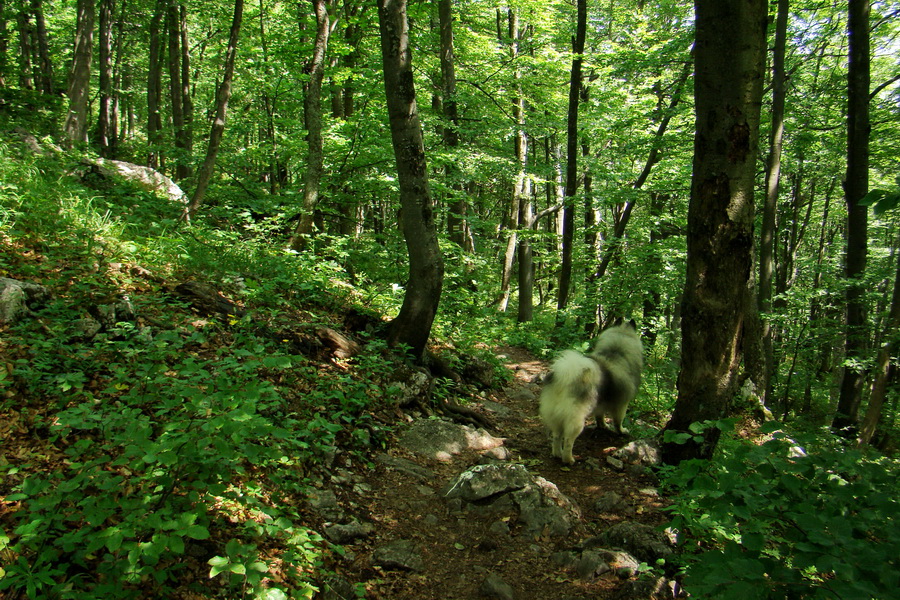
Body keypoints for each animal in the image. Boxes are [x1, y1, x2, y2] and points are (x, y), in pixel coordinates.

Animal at [536, 318, 644, 464]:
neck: (617, 352)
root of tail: (564, 378)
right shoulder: (622, 404)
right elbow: (618, 420)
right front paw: (622, 431)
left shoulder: (601, 404)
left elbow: (600, 416)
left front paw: (603, 425)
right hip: (575, 419)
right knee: (568, 440)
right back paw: (569, 459)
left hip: (556, 415)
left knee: (557, 436)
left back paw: (557, 454)